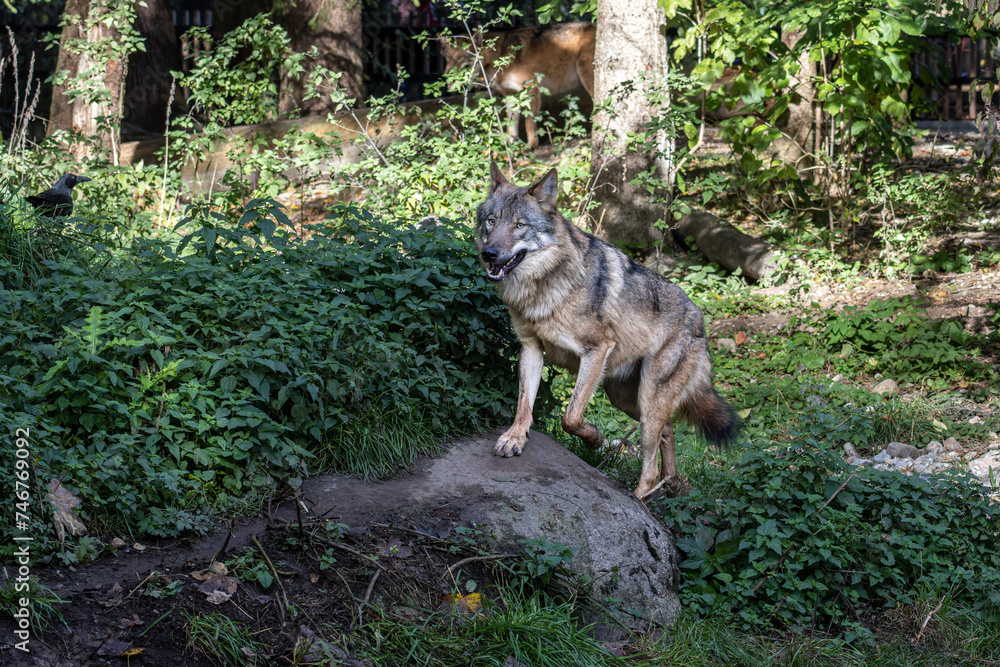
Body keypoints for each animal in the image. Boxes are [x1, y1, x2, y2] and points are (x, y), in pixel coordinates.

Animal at [443, 23, 595, 149]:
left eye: (460, 57)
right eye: (448, 58)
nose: (445, 76)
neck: (498, 56)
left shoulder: (531, 88)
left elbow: (529, 122)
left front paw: (531, 145)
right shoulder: (511, 96)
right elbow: (511, 127)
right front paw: (510, 147)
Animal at [475, 163, 740, 498]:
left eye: (520, 225)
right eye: (492, 221)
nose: (490, 253)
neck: (545, 286)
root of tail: (700, 322)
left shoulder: (597, 349)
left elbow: (570, 416)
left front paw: (594, 439)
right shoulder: (531, 347)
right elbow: (524, 405)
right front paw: (514, 438)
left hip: (648, 399)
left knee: (650, 466)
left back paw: (641, 498)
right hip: (625, 399)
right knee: (668, 430)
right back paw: (672, 484)